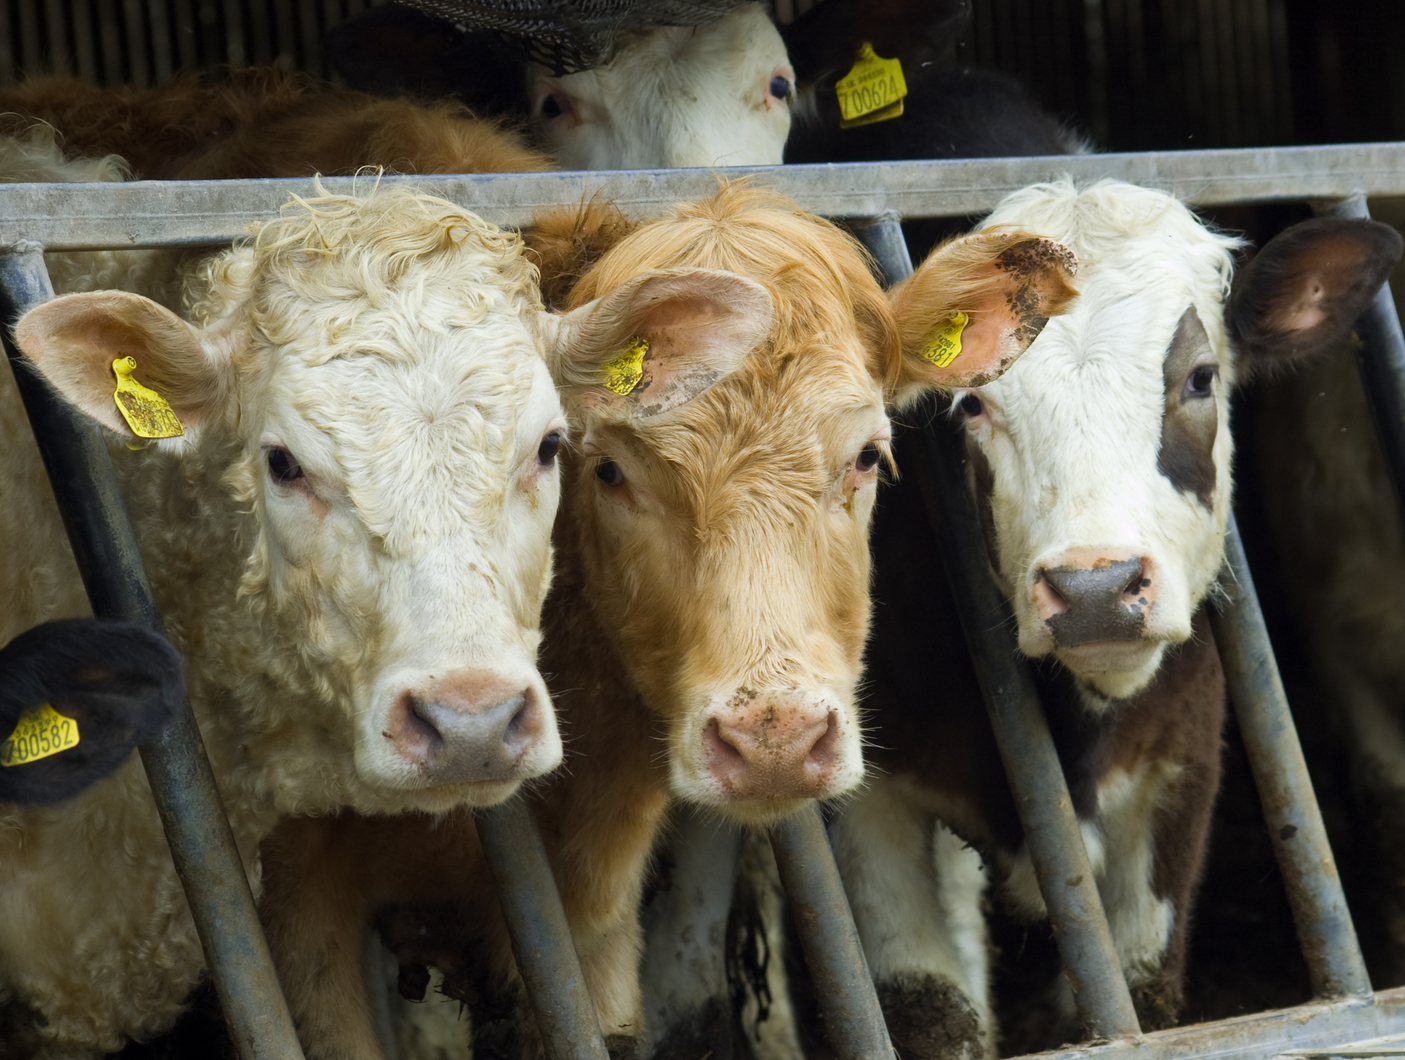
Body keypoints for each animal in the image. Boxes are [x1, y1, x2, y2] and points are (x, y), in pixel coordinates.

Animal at [829, 179, 1402, 1058]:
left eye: (1199, 378)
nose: (1095, 588)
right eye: (972, 404)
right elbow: (928, 1012)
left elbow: (1138, 990)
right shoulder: (871, 794)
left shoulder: (1178, 772)